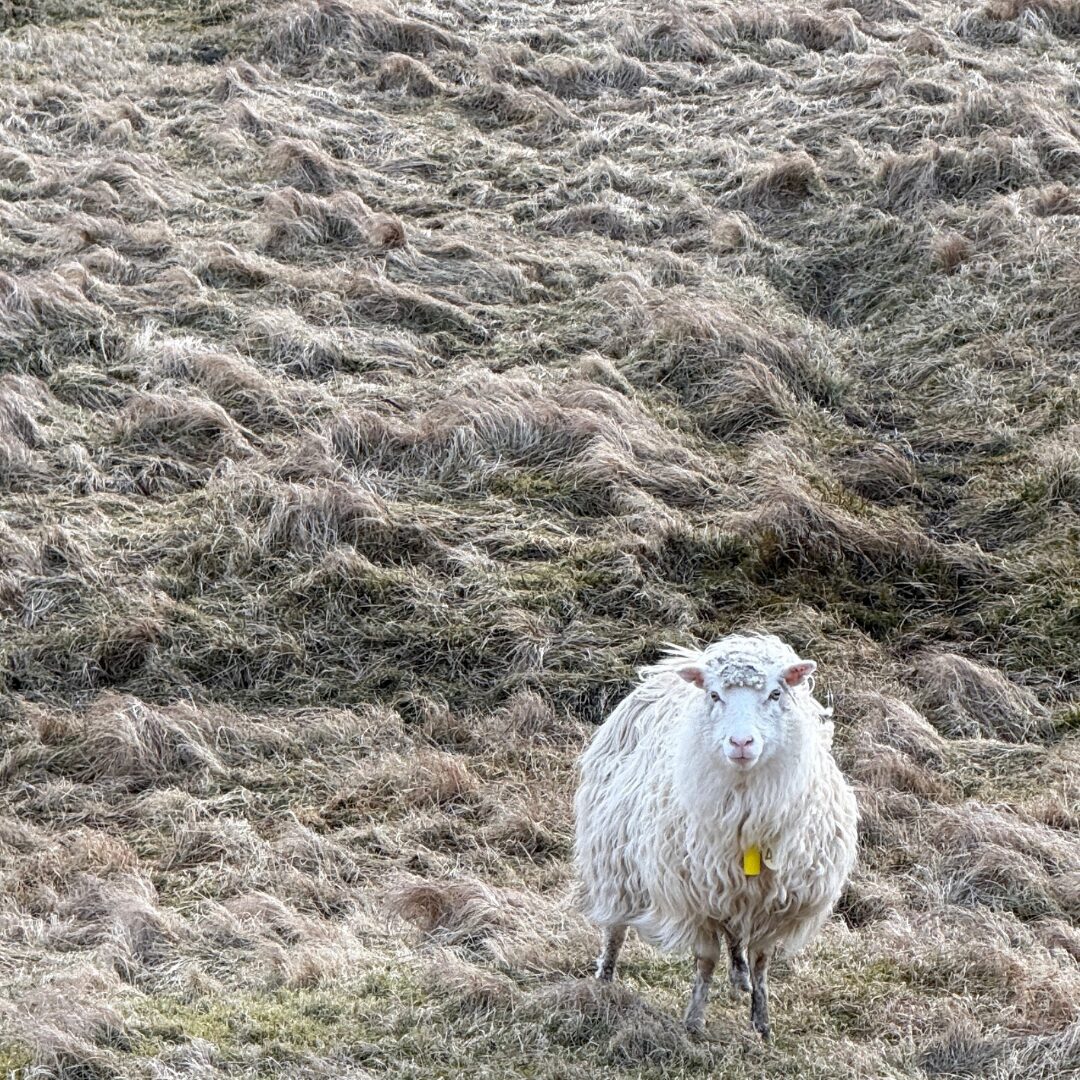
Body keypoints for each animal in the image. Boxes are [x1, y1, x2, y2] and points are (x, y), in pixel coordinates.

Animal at [574, 633, 858, 1040]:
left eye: (775, 693)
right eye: (714, 695)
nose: (741, 743)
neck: (745, 816)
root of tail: (674, 666)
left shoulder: (773, 905)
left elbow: (761, 962)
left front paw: (762, 1023)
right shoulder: (696, 898)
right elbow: (705, 962)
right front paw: (694, 1022)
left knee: (736, 935)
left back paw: (739, 976)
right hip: (614, 857)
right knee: (615, 929)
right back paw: (604, 981)